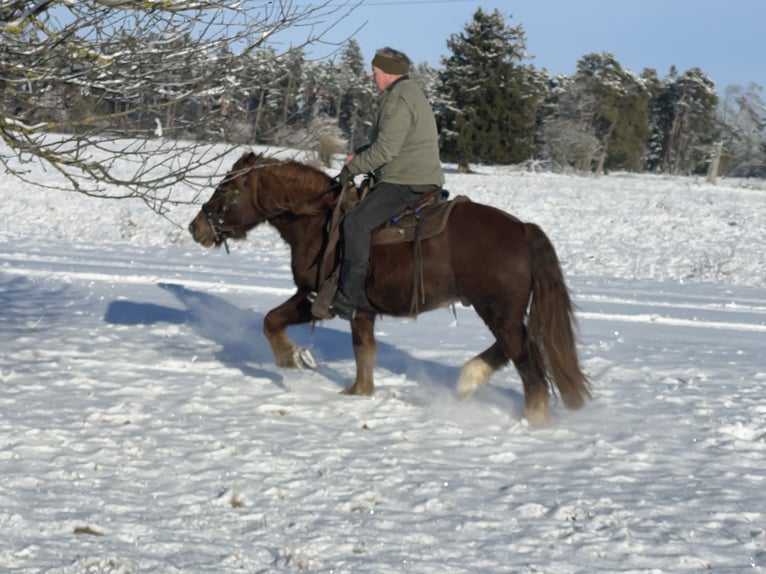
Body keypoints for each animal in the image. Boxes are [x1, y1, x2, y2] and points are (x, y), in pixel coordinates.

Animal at [188, 151, 592, 426]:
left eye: (227, 189)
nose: (196, 227)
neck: (317, 220)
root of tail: (523, 229)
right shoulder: (358, 310)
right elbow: (363, 352)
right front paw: (355, 391)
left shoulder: (321, 299)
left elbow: (272, 321)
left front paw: (293, 358)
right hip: (500, 313)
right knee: (518, 351)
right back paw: (469, 379)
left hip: (498, 313)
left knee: (528, 362)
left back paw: (532, 419)